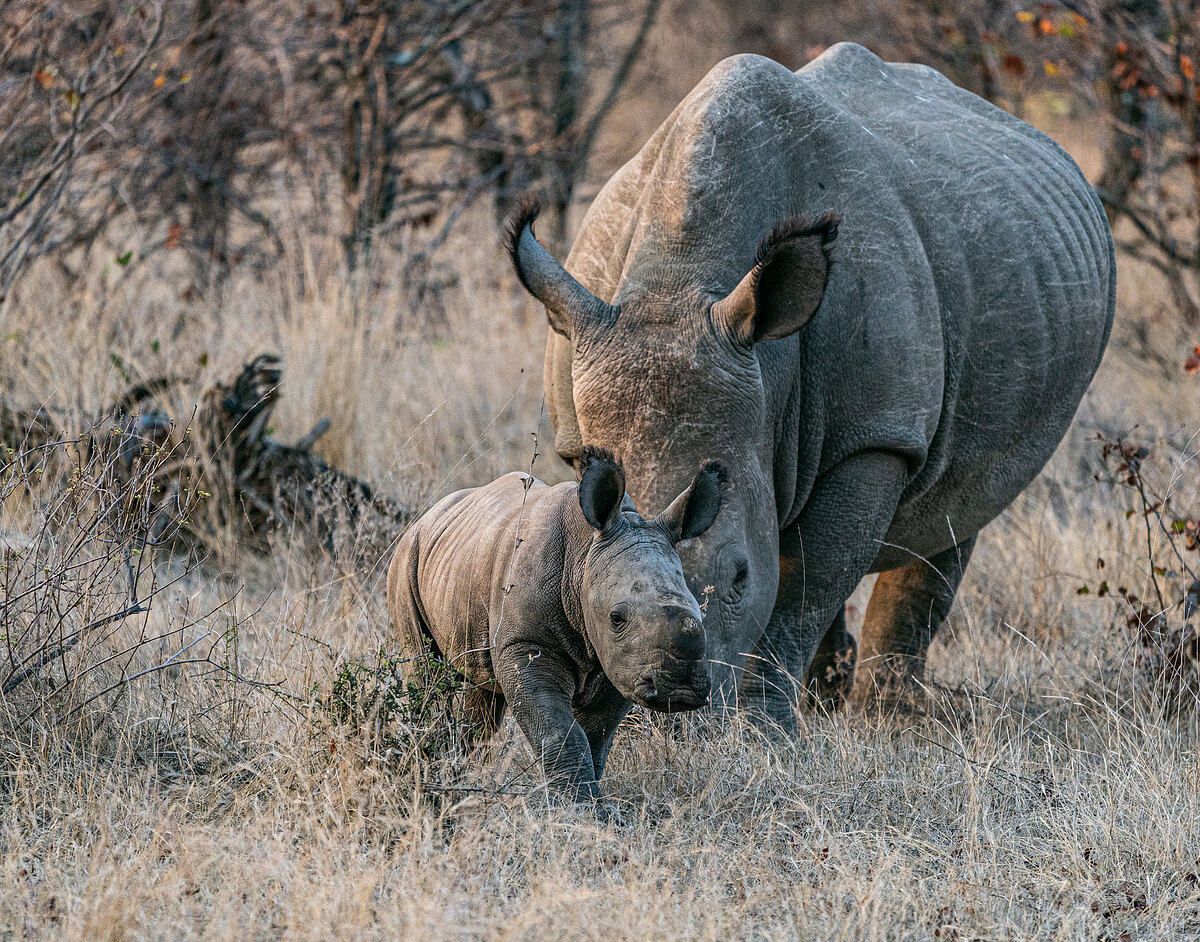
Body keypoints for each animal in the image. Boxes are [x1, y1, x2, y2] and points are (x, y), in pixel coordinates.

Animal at [387, 447, 726, 801]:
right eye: (616, 618)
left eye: (699, 613)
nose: (680, 688)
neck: (585, 554)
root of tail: (427, 516)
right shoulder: (526, 644)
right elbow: (559, 730)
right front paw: (583, 808)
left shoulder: (623, 662)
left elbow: (596, 734)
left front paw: (591, 803)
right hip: (407, 557)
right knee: (425, 674)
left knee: (481, 692)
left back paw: (457, 776)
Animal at [507, 43, 1115, 721]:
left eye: (741, 576)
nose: (670, 705)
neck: (678, 284)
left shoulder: (875, 434)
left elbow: (804, 587)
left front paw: (765, 729)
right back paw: (835, 699)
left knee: (959, 508)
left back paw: (884, 715)